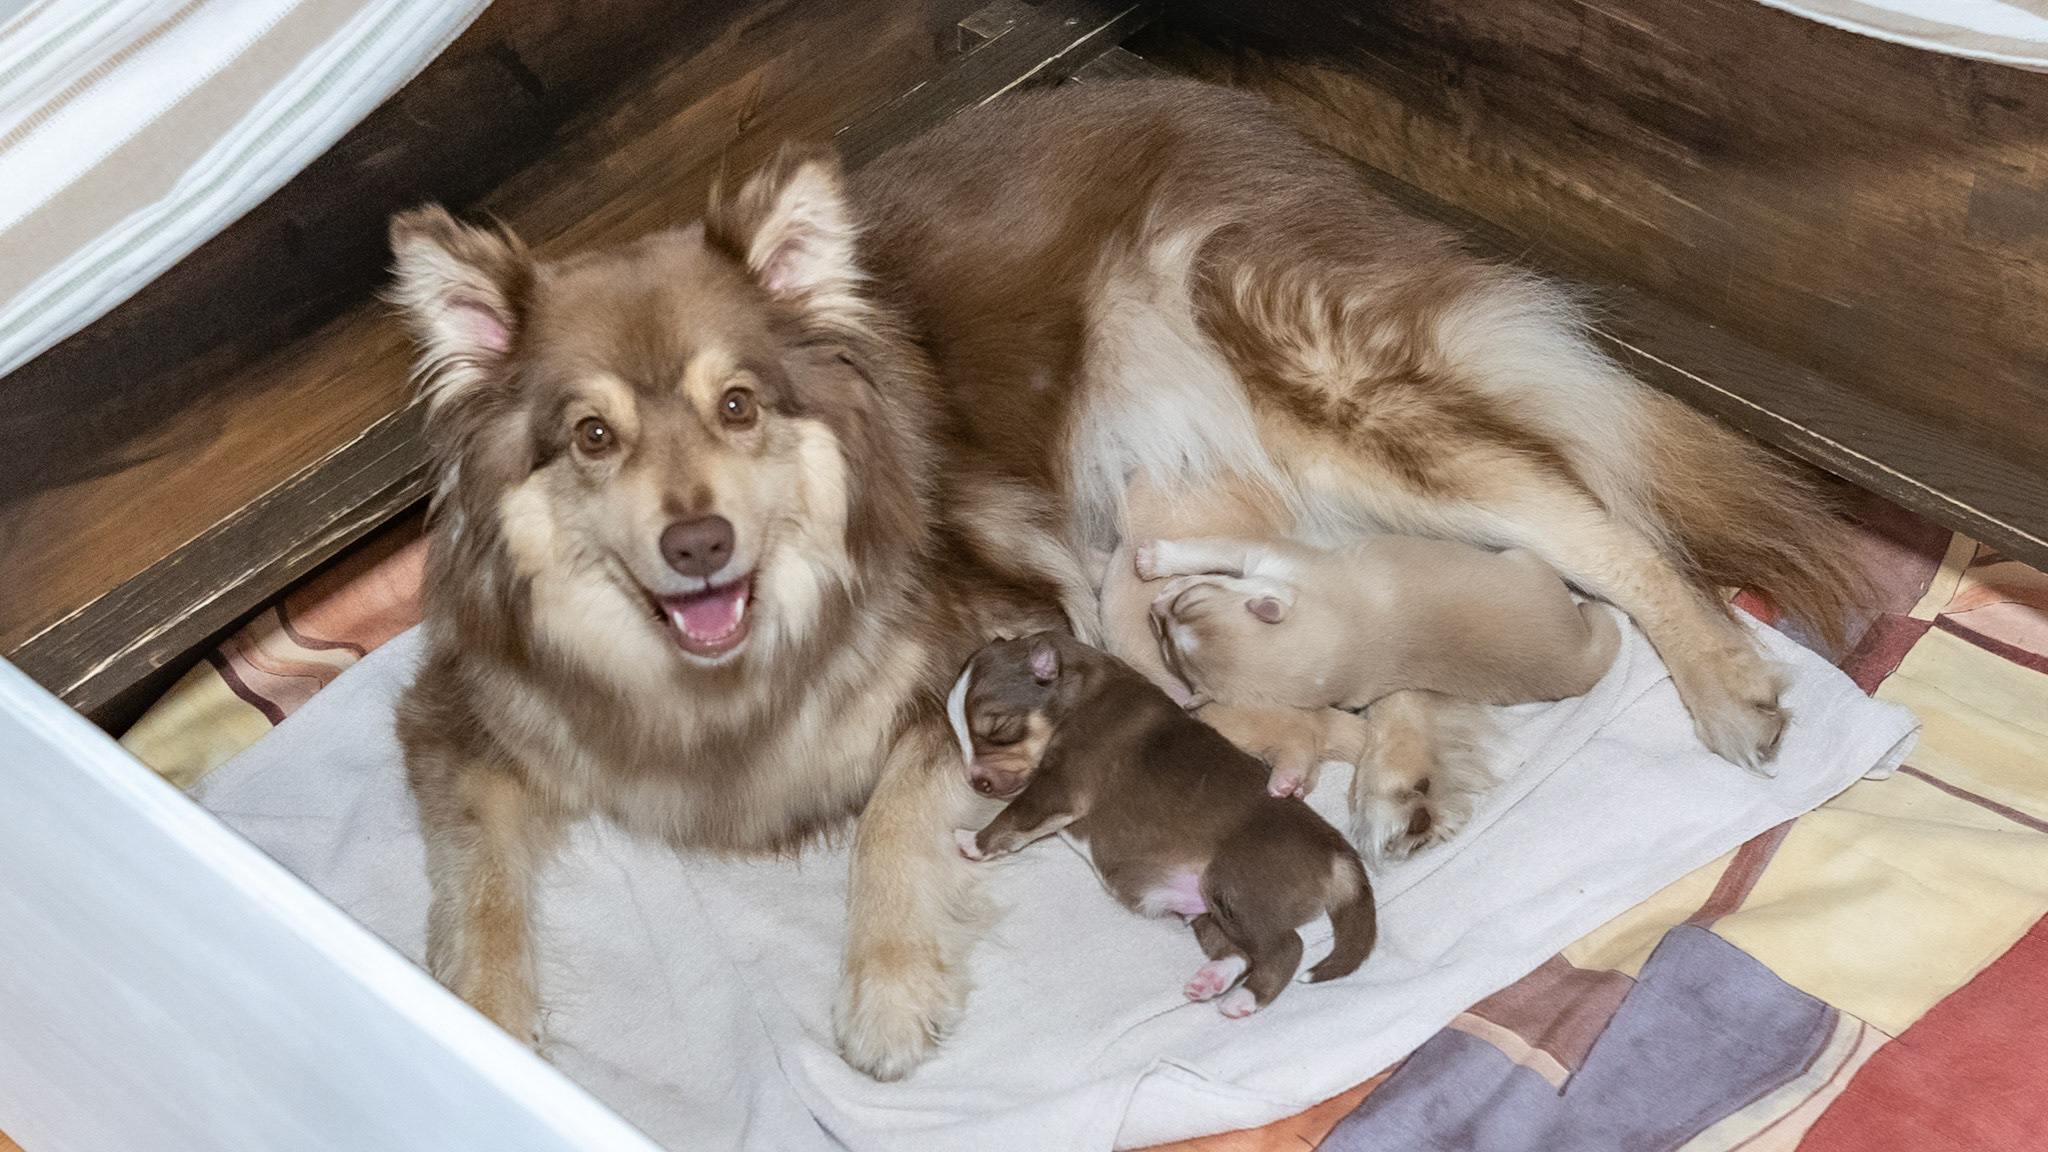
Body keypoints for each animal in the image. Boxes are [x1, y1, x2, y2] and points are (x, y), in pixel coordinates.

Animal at [949, 632, 1377, 1016]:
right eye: (958, 737)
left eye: (999, 728)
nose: (976, 782)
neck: (1084, 692)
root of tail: (1338, 850)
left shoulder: (1062, 786)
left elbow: (1013, 818)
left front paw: (969, 840)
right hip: (1210, 908)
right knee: (1237, 952)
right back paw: (1210, 981)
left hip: (1237, 885)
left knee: (1285, 948)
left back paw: (1242, 1001)